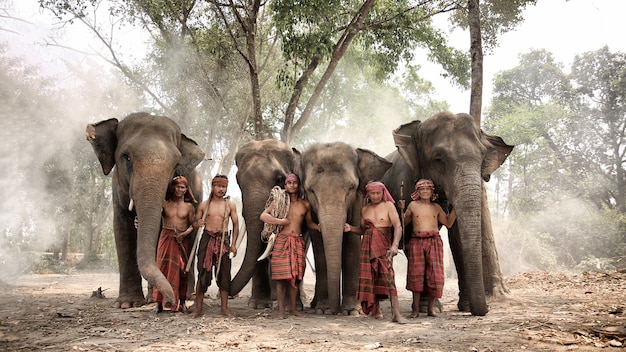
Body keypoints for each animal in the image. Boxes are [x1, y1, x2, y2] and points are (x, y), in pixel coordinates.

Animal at [84, 112, 202, 308]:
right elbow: (122, 229)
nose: (170, 301)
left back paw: (188, 295)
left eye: (176, 164)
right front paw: (127, 304)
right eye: (126, 157)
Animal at [298, 142, 390, 314]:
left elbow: (352, 242)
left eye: (351, 188)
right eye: (311, 191)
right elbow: (319, 244)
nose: (334, 311)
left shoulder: (358, 200)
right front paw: (322, 310)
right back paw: (315, 305)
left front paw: (351, 311)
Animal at [380, 110, 512, 316]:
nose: (487, 308)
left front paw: (466, 307)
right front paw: (430, 307)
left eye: (483, 158)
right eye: (439, 159)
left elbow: (457, 238)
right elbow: (411, 235)